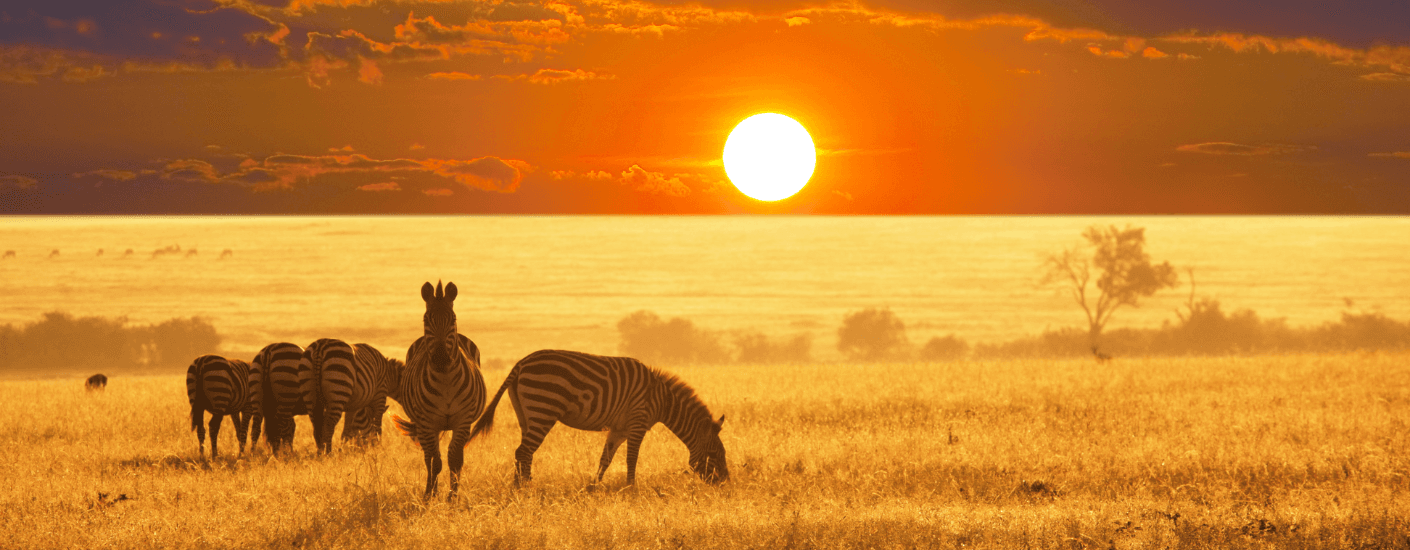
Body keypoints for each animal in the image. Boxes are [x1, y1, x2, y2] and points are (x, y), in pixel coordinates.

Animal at [391, 282, 485, 499]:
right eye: (426, 319)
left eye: (453, 319)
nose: (441, 358)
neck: (446, 380)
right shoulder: (427, 423)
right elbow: (436, 461)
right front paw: (431, 495)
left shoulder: (462, 421)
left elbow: (455, 460)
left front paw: (452, 497)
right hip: (423, 425)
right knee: (428, 458)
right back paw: (429, 491)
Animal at [470, 348, 733, 485]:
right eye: (715, 454)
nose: (725, 485)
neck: (662, 399)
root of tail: (522, 362)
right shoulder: (637, 422)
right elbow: (632, 459)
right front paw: (631, 489)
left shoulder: (619, 429)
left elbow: (605, 459)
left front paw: (593, 487)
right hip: (543, 408)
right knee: (523, 451)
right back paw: (524, 489)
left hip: (525, 414)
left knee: (524, 452)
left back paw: (521, 487)